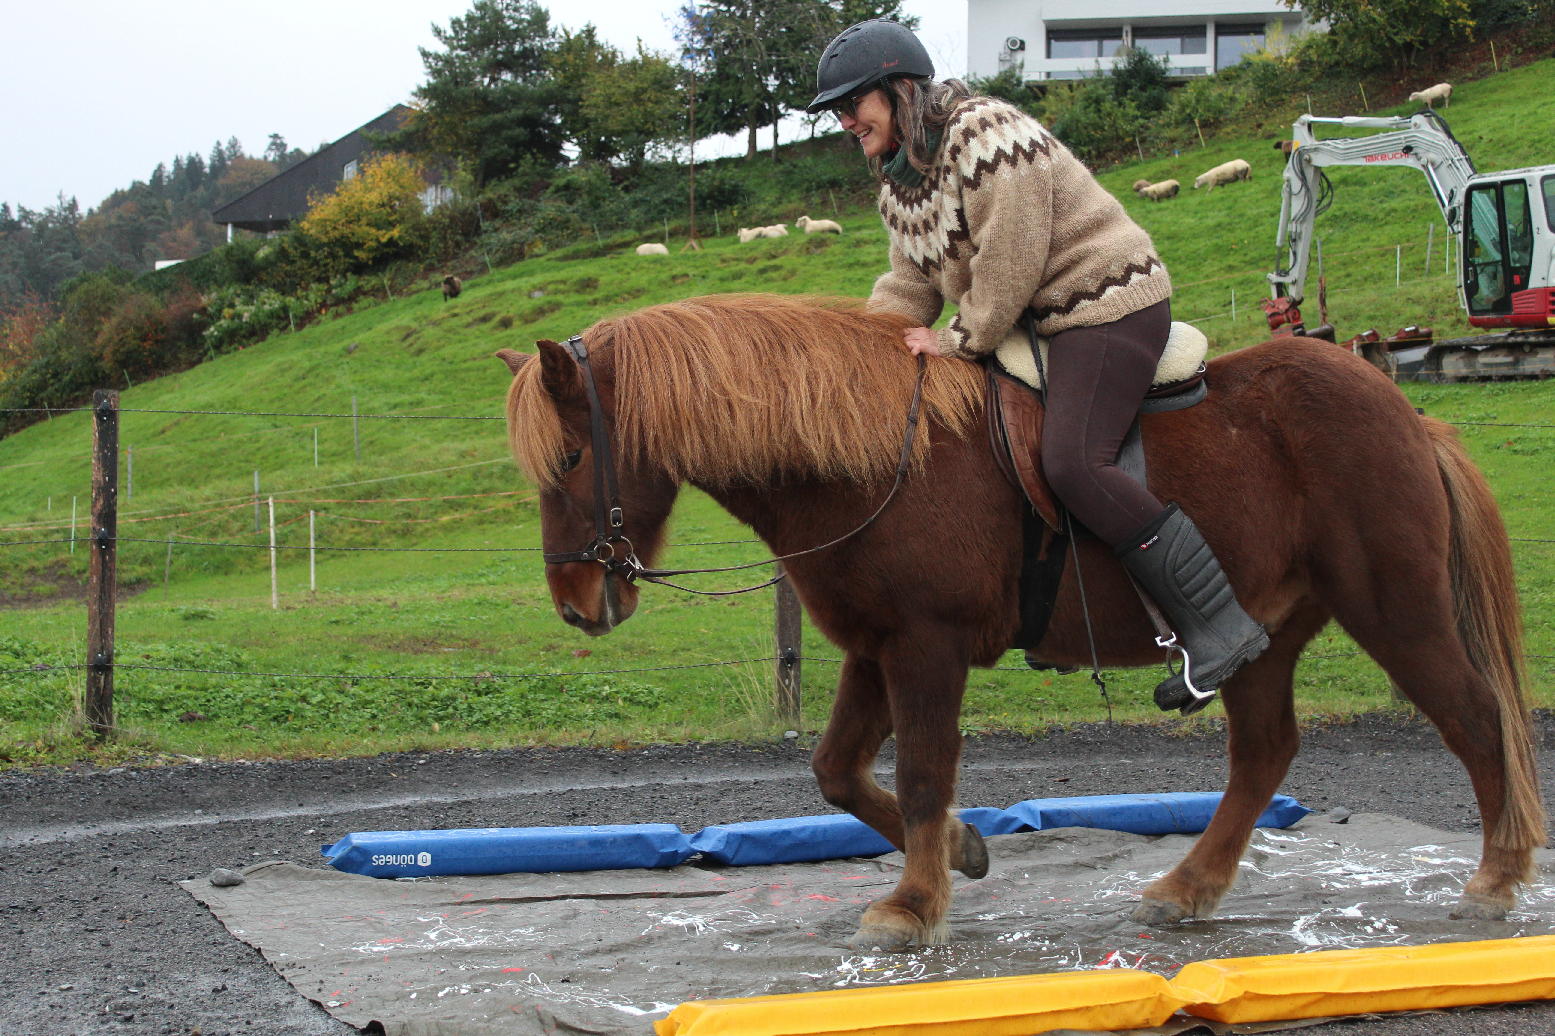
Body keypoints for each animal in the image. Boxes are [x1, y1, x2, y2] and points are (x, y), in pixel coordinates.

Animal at [496, 292, 1545, 951]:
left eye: (575, 456)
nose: (577, 604)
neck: (879, 458)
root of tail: (1409, 416)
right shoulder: (874, 650)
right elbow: (836, 771)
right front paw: (962, 850)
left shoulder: (926, 646)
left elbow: (922, 771)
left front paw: (914, 906)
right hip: (1262, 636)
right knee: (1263, 754)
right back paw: (1186, 889)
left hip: (1395, 608)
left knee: (1474, 718)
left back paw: (1495, 878)